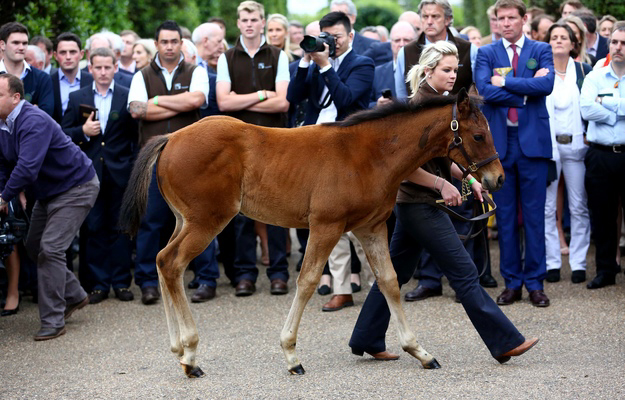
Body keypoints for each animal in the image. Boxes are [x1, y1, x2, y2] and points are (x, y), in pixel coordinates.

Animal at [120, 88, 502, 378]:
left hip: (184, 221)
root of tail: (172, 137)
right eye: (478, 135)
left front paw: (419, 351)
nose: (497, 178)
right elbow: (307, 281)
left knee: (161, 261)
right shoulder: (325, 226)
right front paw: (291, 355)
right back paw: (190, 355)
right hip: (206, 221)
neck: (368, 154)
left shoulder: (370, 227)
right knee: (172, 263)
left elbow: (390, 281)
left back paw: (178, 349)